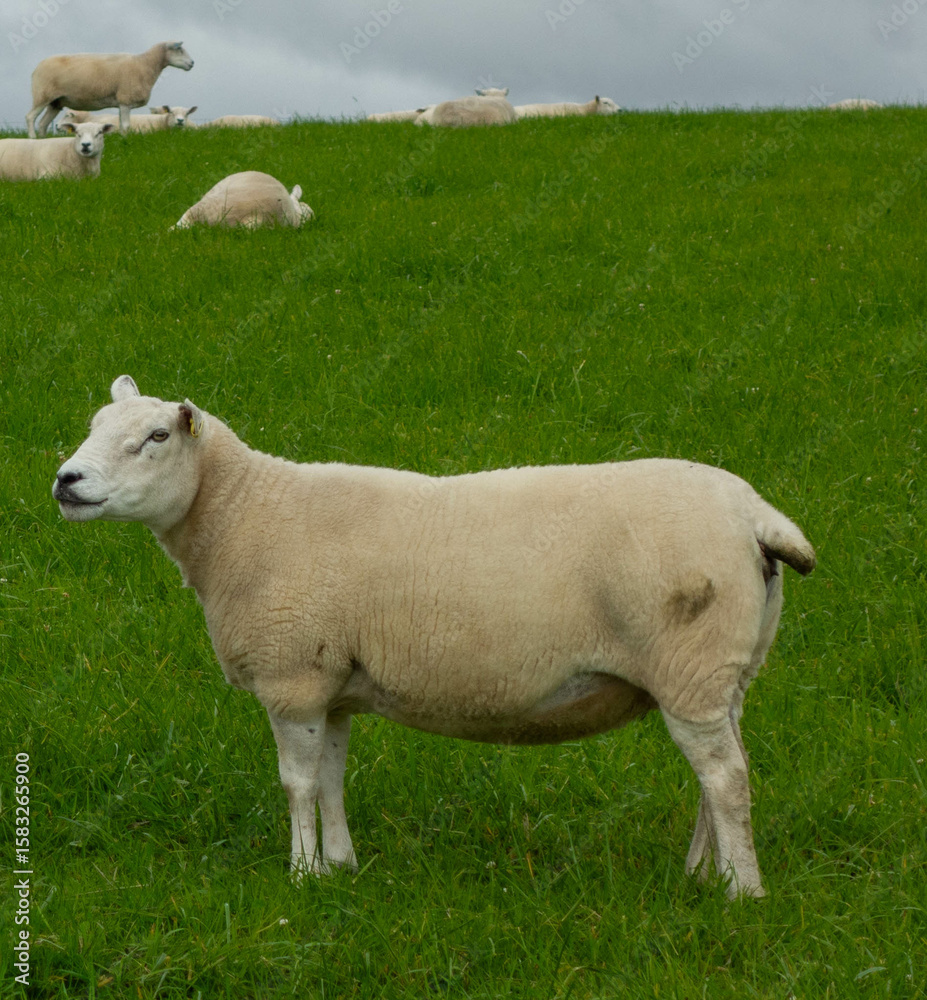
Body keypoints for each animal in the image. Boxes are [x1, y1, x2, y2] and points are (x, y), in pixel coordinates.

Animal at [26, 42, 194, 138]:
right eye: (179, 50)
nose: (192, 63)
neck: (145, 65)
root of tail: (36, 69)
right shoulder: (126, 99)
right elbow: (126, 125)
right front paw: (126, 141)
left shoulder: (121, 103)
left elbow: (120, 124)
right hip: (42, 95)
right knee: (30, 117)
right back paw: (32, 138)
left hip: (55, 102)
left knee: (43, 123)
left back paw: (42, 140)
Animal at [53, 376, 816, 899]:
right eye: (94, 424)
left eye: (157, 437)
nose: (66, 480)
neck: (246, 515)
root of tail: (754, 514)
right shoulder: (332, 685)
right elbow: (329, 779)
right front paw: (340, 866)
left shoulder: (293, 677)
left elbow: (296, 783)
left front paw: (301, 874)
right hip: (721, 669)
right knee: (721, 772)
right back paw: (702, 874)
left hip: (690, 662)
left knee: (724, 778)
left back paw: (741, 893)